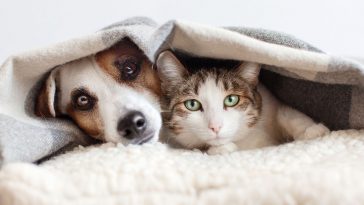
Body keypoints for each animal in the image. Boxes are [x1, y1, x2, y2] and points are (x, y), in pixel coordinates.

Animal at [156, 50, 330, 155]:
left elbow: (286, 112)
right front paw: (221, 148)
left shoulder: (269, 101)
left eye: (231, 100)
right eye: (192, 104)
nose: (215, 127)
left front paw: (313, 130)